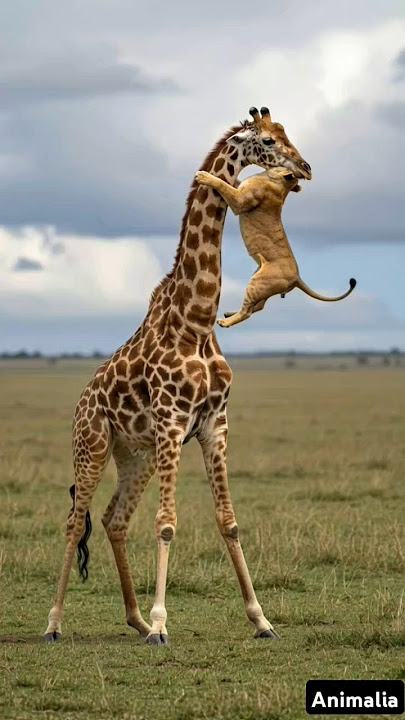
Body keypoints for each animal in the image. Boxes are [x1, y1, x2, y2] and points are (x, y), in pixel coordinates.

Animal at [44, 106, 311, 645]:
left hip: (136, 455)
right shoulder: (172, 420)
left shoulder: (214, 424)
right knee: (75, 522)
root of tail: (81, 403)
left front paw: (261, 619)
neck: (197, 320)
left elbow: (228, 521)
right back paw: (56, 623)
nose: (306, 168)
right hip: (93, 445)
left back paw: (134, 618)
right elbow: (167, 523)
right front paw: (164, 624)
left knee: (114, 519)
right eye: (269, 141)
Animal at [195, 167, 356, 328]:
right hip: (261, 283)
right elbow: (234, 183)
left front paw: (204, 176)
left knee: (247, 311)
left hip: (257, 283)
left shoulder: (241, 202)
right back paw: (230, 313)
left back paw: (225, 321)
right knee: (258, 307)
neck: (277, 183)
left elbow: (224, 186)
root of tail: (297, 278)